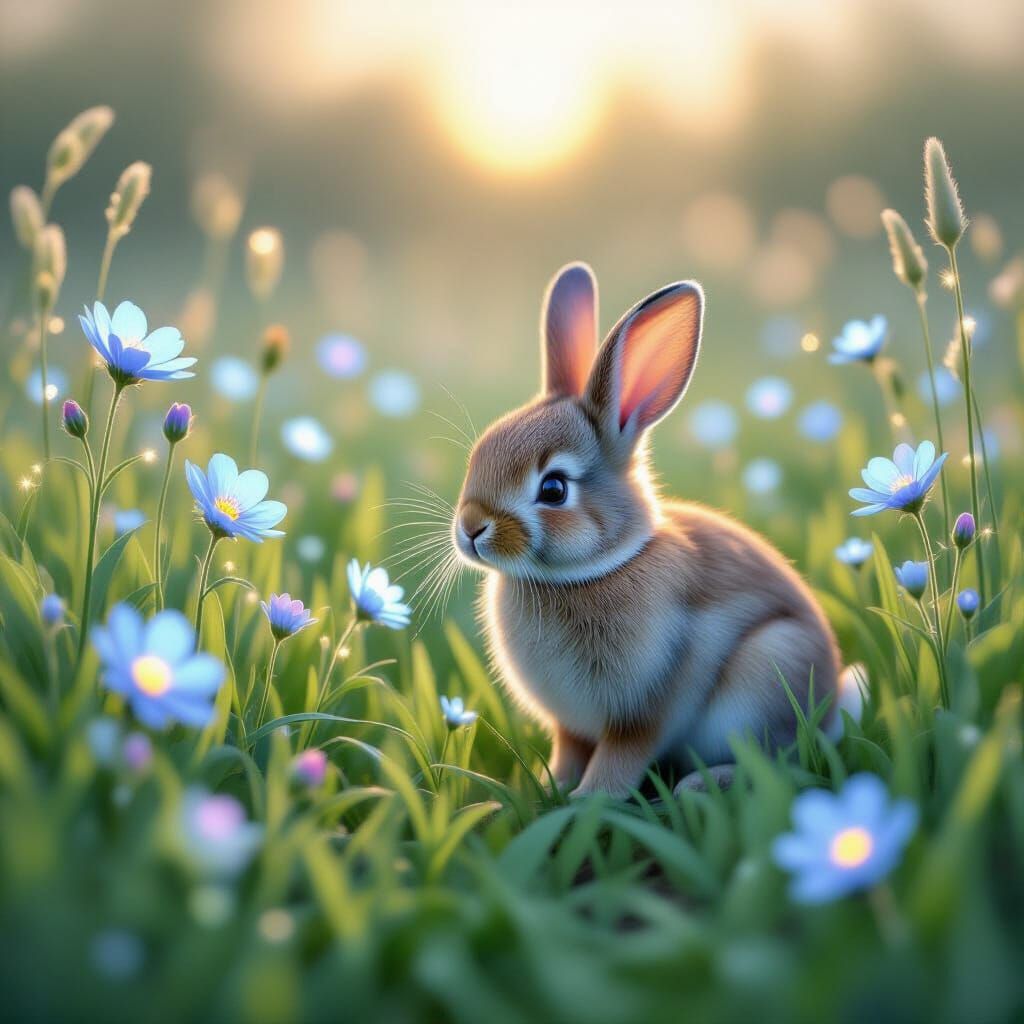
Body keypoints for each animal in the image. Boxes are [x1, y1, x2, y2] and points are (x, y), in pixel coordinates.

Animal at [452, 262, 863, 798]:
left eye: (554, 489)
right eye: (480, 452)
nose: (470, 528)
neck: (594, 570)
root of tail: (833, 709)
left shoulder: (647, 711)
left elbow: (621, 759)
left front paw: (586, 801)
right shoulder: (570, 726)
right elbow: (569, 753)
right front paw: (546, 791)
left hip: (770, 668)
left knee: (779, 763)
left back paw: (699, 786)